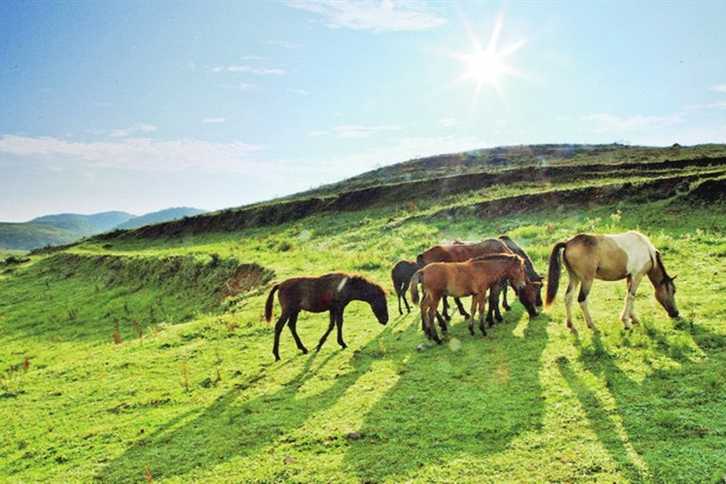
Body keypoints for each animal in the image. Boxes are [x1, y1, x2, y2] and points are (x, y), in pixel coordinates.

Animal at [410, 253, 540, 344]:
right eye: (521, 269)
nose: (522, 286)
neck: (484, 268)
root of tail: (422, 270)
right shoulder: (482, 292)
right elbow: (481, 309)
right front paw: (483, 329)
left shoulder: (476, 294)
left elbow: (473, 309)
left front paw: (471, 329)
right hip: (435, 296)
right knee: (431, 313)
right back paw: (436, 338)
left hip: (428, 296)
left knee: (423, 307)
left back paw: (428, 333)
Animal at [544, 231, 684, 332]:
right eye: (673, 290)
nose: (675, 313)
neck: (647, 251)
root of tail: (568, 243)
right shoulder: (637, 275)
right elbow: (631, 297)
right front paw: (626, 322)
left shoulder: (630, 277)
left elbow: (629, 297)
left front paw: (633, 318)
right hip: (586, 280)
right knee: (582, 300)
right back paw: (593, 327)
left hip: (574, 278)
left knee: (568, 298)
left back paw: (571, 326)